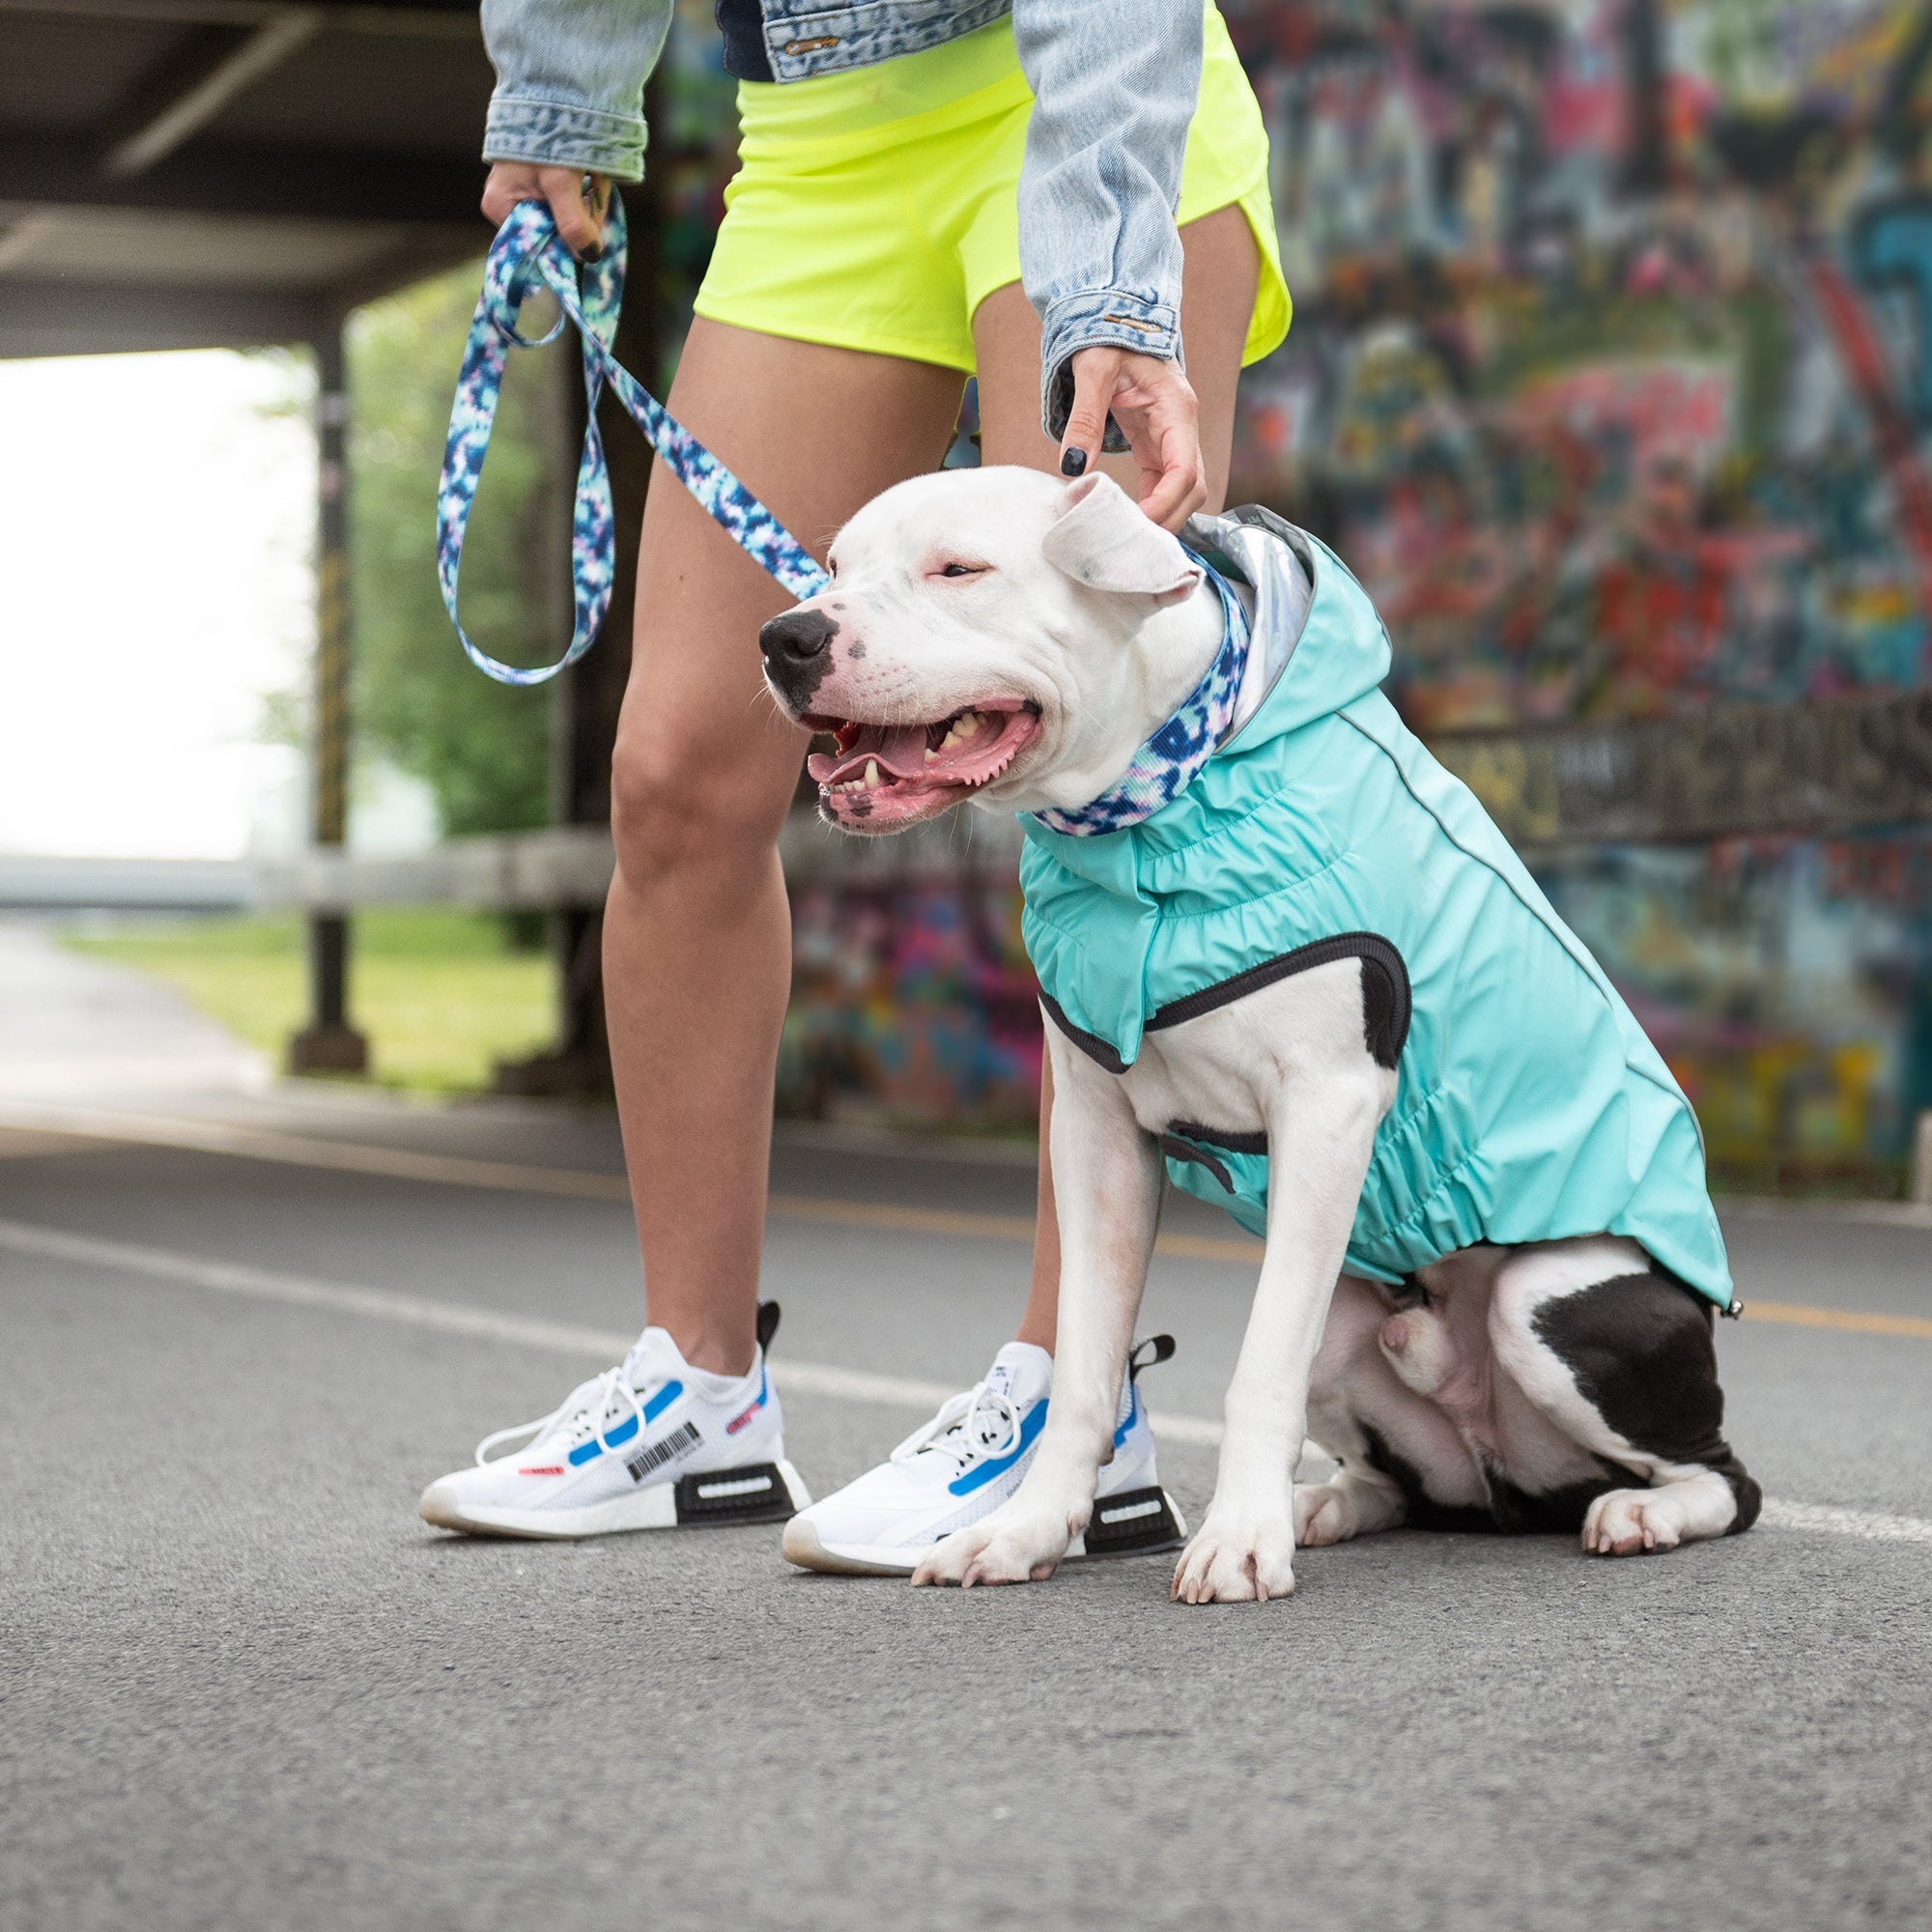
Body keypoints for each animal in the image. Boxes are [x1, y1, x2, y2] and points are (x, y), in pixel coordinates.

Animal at [761, 468, 1762, 1600]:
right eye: (832, 565)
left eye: (957, 568)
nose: (786, 635)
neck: (1151, 814)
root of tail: (1508, 1480)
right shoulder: (1095, 1132)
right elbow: (1087, 1366)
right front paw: (1024, 1529)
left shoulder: (1327, 1107)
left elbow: (1255, 1369)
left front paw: (1238, 1539)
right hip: (1358, 1320)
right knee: (1406, 1481)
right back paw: (1326, 1503)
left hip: (1544, 1294)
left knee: (1721, 1476)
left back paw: (1640, 1509)